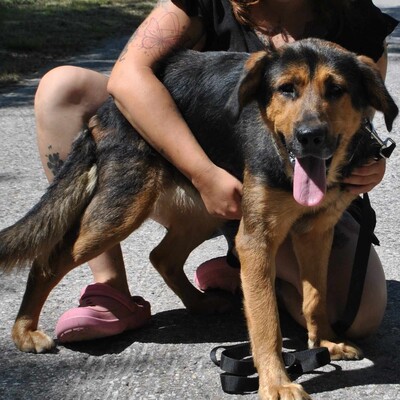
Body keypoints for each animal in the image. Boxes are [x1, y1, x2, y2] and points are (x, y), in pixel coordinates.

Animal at [0, 38, 396, 400]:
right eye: (286, 89)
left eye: (336, 90)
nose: (310, 137)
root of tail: (107, 110)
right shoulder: (256, 240)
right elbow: (266, 321)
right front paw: (277, 383)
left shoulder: (316, 232)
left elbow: (316, 297)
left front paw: (325, 342)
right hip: (123, 208)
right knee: (49, 260)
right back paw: (25, 332)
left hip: (206, 209)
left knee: (162, 256)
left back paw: (200, 302)